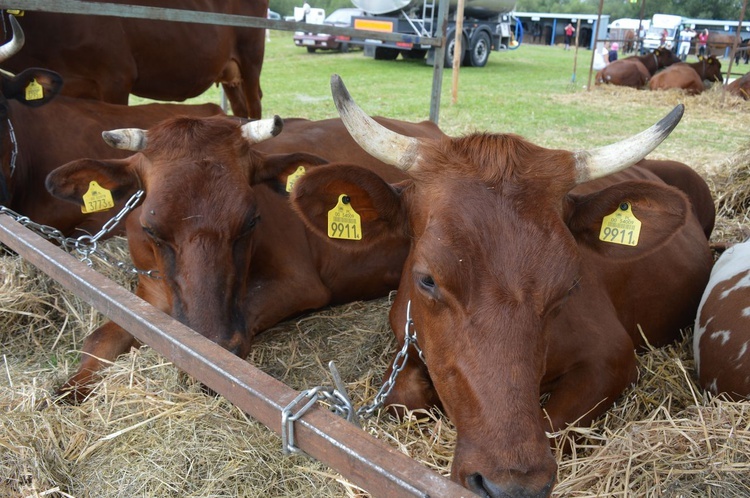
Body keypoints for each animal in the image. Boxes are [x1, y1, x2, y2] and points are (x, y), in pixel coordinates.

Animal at [44, 111, 446, 402]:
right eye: (151, 229)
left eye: (251, 220)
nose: (204, 361)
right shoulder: (147, 294)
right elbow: (100, 338)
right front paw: (69, 389)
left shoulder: (300, 285)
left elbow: (243, 322)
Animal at [290, 74, 716, 498]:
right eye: (427, 279)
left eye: (569, 286)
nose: (511, 486)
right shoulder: (405, 338)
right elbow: (404, 400)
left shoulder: (612, 356)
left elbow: (552, 423)